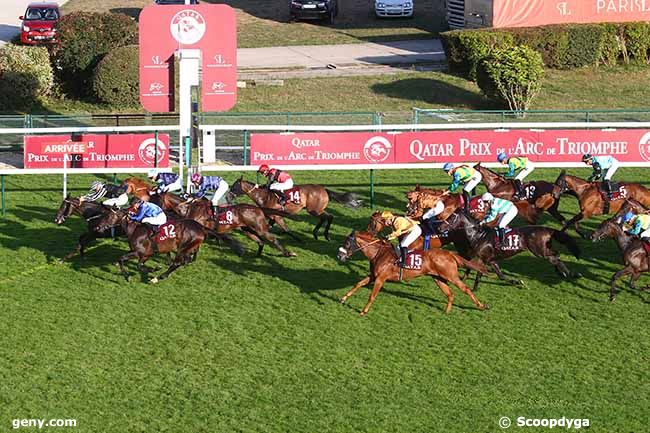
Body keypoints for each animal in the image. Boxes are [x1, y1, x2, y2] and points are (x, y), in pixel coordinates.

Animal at [229, 176, 362, 243]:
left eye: (234, 186)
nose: (229, 196)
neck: (264, 196)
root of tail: (324, 189)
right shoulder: (272, 216)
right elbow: (268, 226)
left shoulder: (277, 215)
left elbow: (285, 229)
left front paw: (299, 240)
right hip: (315, 210)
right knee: (325, 218)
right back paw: (316, 233)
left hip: (313, 210)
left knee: (329, 217)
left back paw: (325, 235)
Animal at [336, 230, 484, 314]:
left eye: (347, 243)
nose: (339, 256)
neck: (379, 253)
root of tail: (450, 254)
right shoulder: (373, 276)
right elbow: (358, 284)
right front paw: (343, 298)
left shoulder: (380, 278)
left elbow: (372, 296)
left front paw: (363, 311)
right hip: (438, 278)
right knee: (450, 294)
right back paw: (447, 311)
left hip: (451, 276)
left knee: (466, 289)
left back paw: (481, 305)